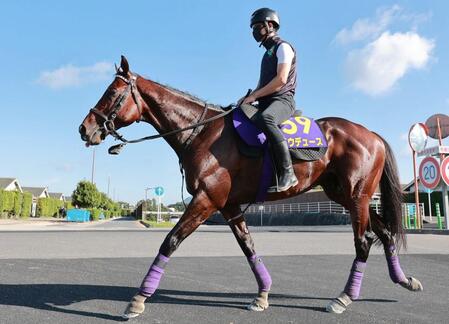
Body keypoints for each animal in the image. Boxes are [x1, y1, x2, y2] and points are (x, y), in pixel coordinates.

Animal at [79, 55, 422, 316]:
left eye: (111, 93)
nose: (85, 128)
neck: (202, 133)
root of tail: (371, 135)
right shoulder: (228, 205)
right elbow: (248, 247)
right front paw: (263, 294)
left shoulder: (206, 200)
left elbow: (170, 242)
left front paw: (138, 299)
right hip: (348, 197)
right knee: (385, 233)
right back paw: (403, 280)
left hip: (357, 196)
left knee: (364, 242)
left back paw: (344, 297)